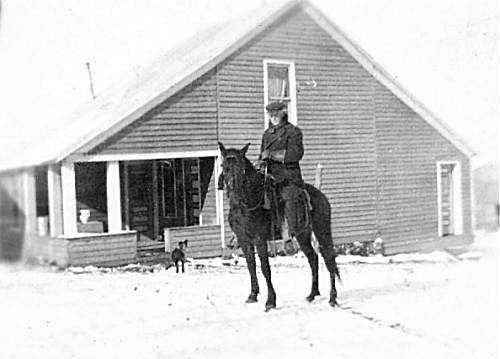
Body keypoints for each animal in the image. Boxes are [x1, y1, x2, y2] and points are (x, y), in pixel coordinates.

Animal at [219, 142, 340, 310]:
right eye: (224, 166)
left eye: (242, 168)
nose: (234, 196)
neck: (249, 202)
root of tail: (321, 196)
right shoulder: (244, 240)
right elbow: (251, 266)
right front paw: (253, 295)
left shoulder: (259, 239)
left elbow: (265, 268)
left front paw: (270, 301)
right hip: (303, 234)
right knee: (313, 258)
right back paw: (312, 294)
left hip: (322, 231)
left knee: (329, 259)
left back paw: (333, 298)